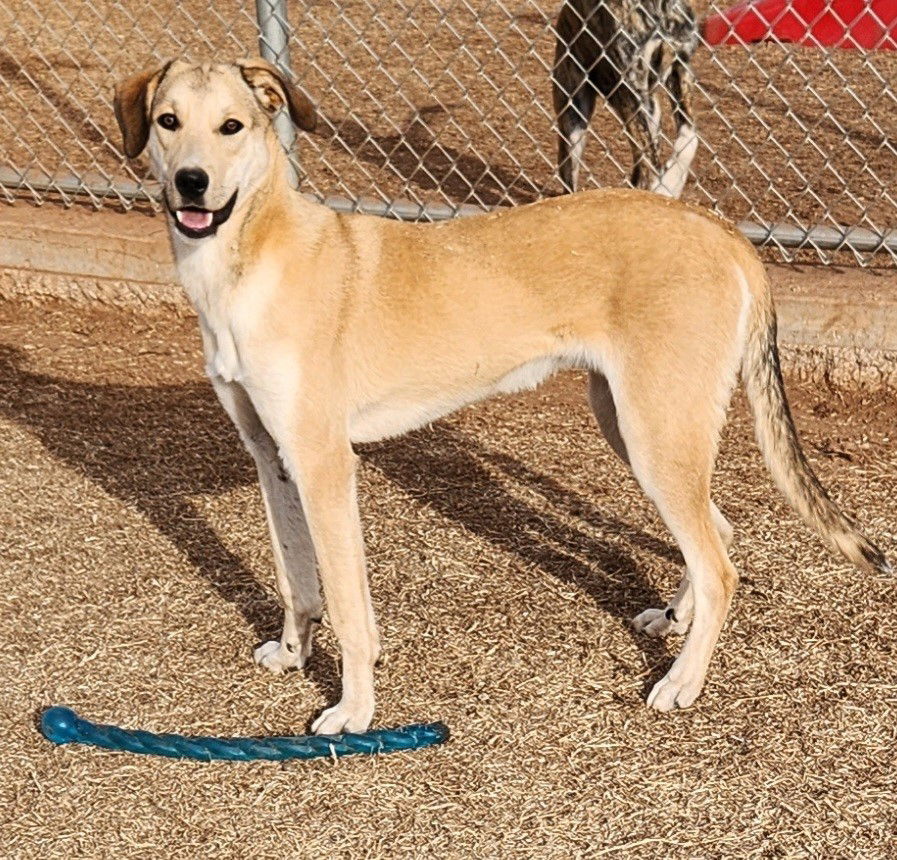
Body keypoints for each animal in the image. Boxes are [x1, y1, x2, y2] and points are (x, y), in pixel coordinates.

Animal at [114, 60, 888, 732]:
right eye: (168, 121)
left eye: (233, 127)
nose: (191, 184)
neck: (248, 260)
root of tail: (721, 230)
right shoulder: (272, 459)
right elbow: (296, 581)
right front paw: (294, 654)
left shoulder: (324, 466)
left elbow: (350, 608)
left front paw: (354, 712)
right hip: (633, 425)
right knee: (716, 534)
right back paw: (674, 620)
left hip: (654, 435)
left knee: (720, 565)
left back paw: (681, 682)